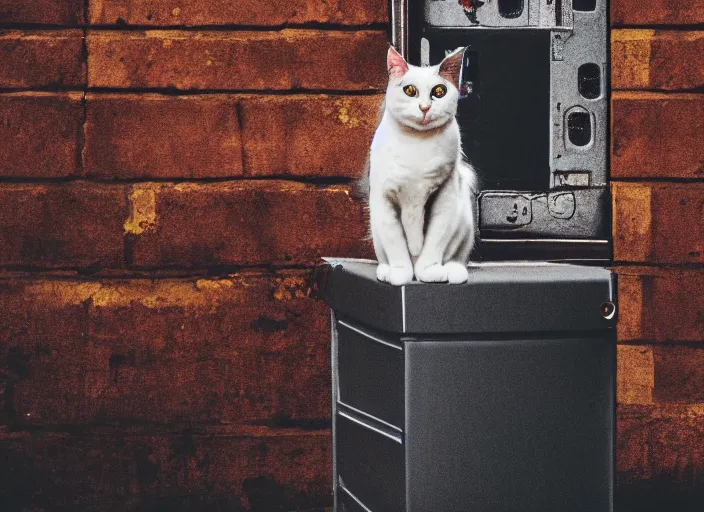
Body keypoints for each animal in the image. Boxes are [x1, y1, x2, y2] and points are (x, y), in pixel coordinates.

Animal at [364, 46, 478, 286]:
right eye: (409, 90)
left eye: (439, 91)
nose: (424, 107)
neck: (417, 145)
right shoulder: (384, 200)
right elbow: (396, 244)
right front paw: (401, 274)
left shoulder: (444, 197)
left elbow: (435, 240)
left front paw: (429, 272)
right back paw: (386, 271)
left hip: (465, 222)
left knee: (457, 257)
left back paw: (453, 272)